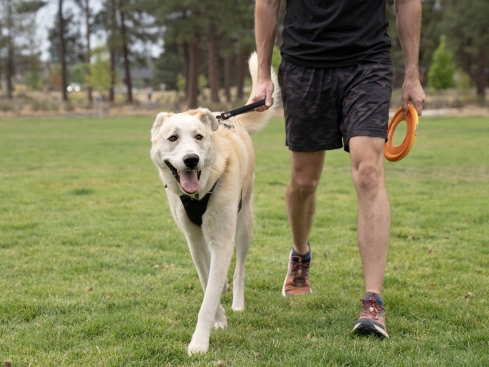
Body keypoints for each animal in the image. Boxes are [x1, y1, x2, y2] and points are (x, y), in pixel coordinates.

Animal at [149, 53, 278, 356]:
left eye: (199, 136)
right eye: (172, 138)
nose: (191, 160)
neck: (200, 192)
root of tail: (229, 119)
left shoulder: (222, 239)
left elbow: (209, 294)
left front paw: (199, 342)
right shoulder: (194, 240)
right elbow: (207, 280)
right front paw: (219, 318)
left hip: (243, 223)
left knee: (240, 266)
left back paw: (238, 301)